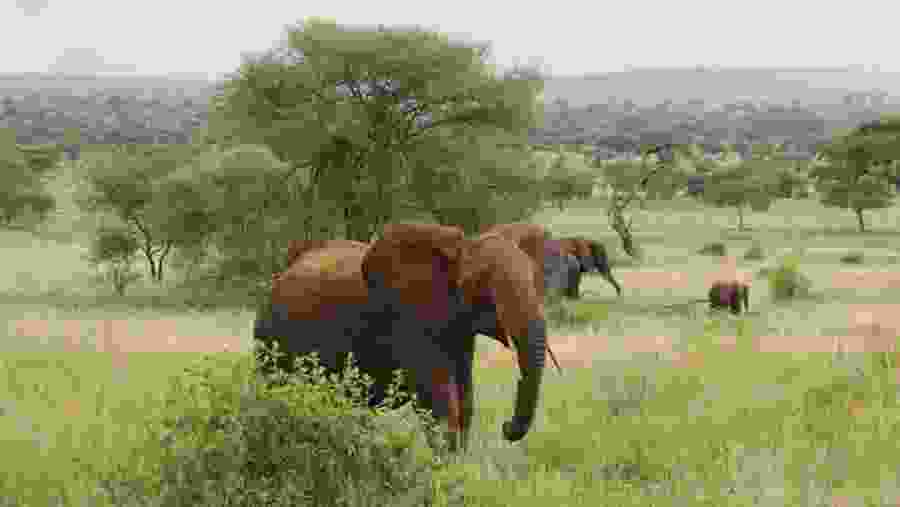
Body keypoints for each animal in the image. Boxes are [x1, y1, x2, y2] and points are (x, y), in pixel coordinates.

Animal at [253, 223, 548, 452]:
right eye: (483, 281)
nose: (506, 427)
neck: (462, 247)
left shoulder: (460, 333)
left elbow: (465, 402)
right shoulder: (407, 318)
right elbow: (439, 404)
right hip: (270, 340)